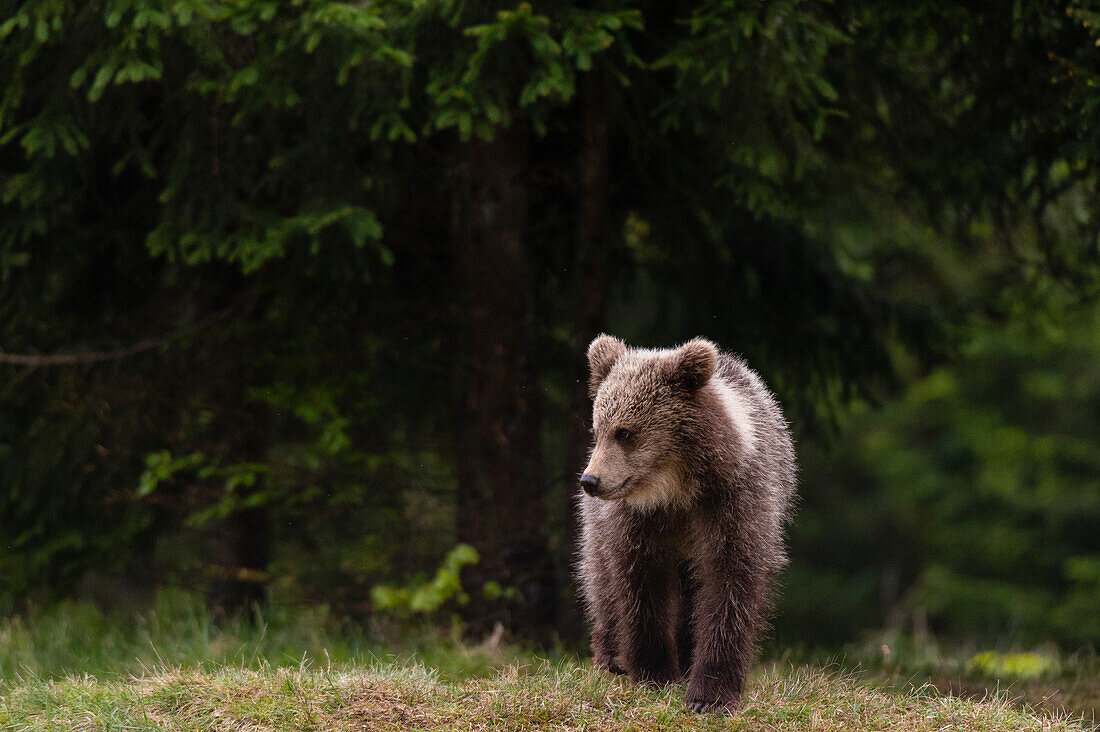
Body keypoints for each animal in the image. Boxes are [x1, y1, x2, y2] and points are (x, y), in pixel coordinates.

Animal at [572, 334, 796, 708]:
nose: (590, 481)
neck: (677, 490)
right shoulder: (638, 521)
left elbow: (729, 584)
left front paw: (709, 694)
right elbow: (641, 585)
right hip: (596, 525)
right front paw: (655, 674)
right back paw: (612, 656)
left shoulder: (734, 503)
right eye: (597, 429)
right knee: (600, 580)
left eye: (625, 433)